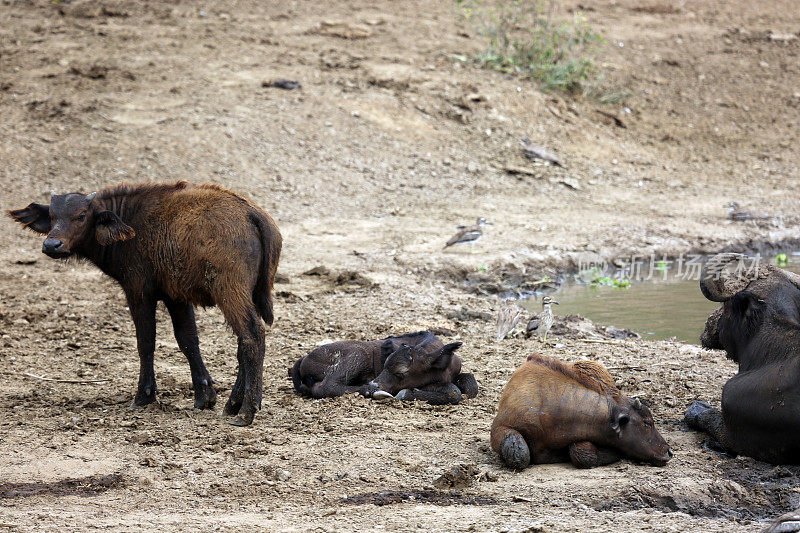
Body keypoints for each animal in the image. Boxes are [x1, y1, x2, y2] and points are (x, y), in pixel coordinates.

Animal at [8, 181, 282, 426]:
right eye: (53, 216)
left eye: (82, 216)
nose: (52, 245)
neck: (129, 222)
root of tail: (253, 214)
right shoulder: (176, 297)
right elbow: (188, 341)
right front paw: (204, 396)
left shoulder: (138, 292)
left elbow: (146, 342)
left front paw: (144, 396)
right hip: (251, 294)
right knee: (243, 342)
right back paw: (233, 404)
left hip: (230, 292)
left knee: (252, 335)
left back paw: (246, 411)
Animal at [290, 328, 478, 404]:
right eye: (386, 365)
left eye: (401, 373)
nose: (374, 383)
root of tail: (305, 357)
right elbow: (454, 392)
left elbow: (470, 386)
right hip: (358, 354)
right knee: (325, 386)